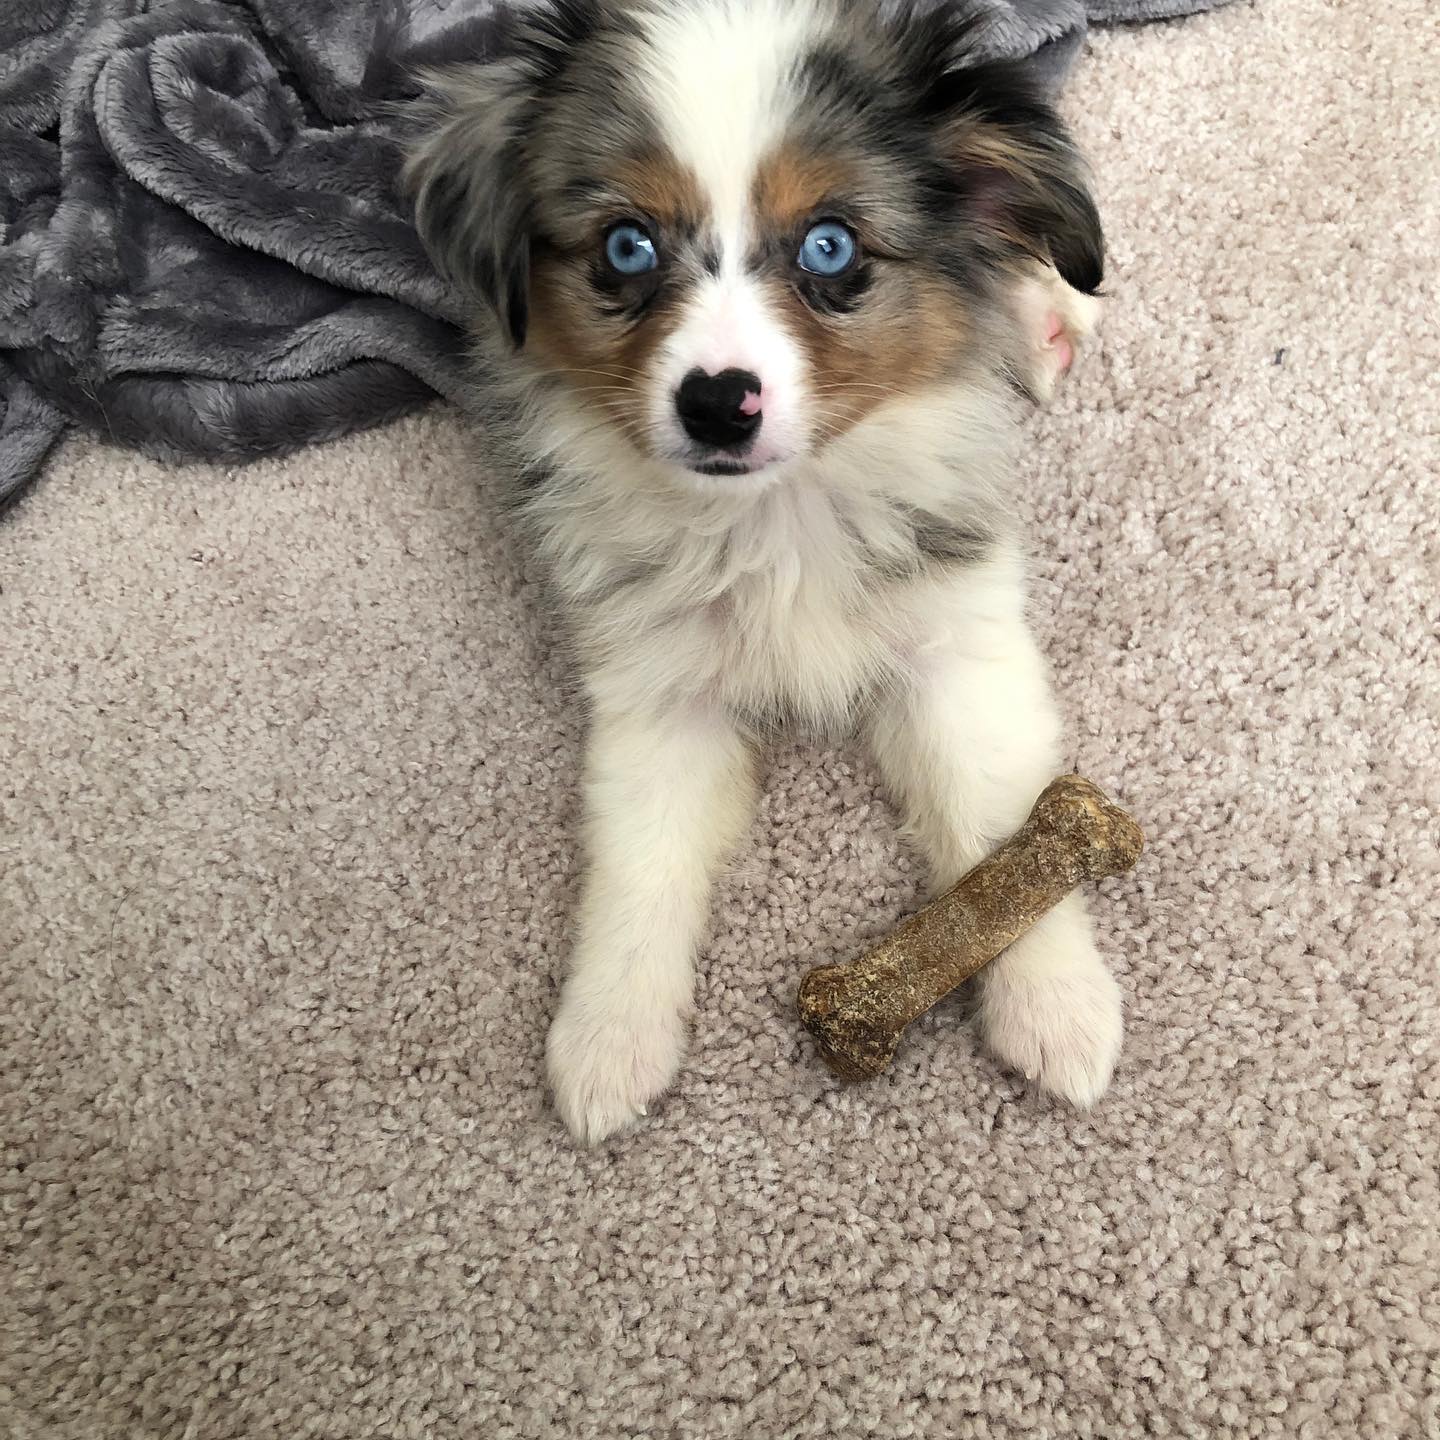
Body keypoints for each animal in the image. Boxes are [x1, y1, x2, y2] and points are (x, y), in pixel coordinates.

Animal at [406, 2, 1111, 1146]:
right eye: (626, 246)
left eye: (831, 245)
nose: (716, 404)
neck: (775, 513)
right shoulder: (656, 694)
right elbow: (638, 865)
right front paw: (606, 1042)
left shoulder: (956, 640)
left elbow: (999, 826)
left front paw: (1058, 1006)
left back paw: (1045, 316)